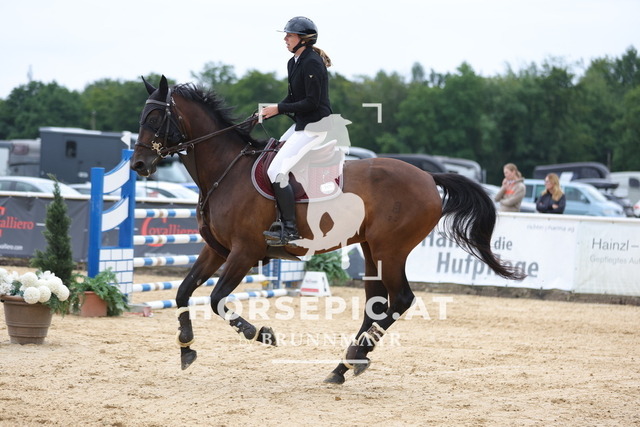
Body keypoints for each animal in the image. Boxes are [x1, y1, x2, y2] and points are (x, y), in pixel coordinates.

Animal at [131, 75, 525, 384]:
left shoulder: (244, 252)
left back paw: (353, 358)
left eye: (155, 116)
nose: (138, 164)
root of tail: (429, 177)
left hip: (390, 250)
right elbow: (184, 291)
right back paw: (344, 366)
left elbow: (215, 299)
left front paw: (260, 334)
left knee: (400, 300)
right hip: (371, 250)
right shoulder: (216, 249)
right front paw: (186, 348)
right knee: (375, 305)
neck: (225, 171)